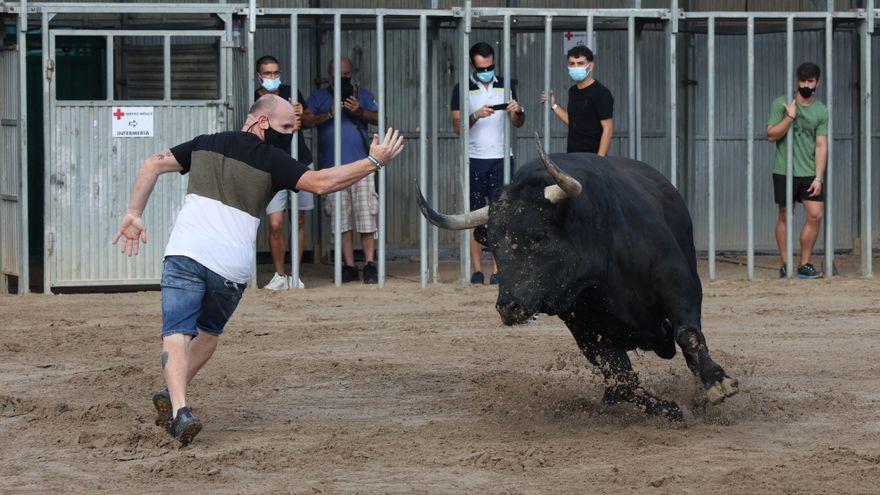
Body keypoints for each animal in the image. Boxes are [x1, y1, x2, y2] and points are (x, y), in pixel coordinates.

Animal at [416, 140, 740, 422]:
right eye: (493, 245)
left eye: (539, 236)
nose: (509, 307)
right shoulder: (582, 327)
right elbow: (621, 377)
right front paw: (668, 410)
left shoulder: (678, 282)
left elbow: (688, 333)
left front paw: (717, 383)